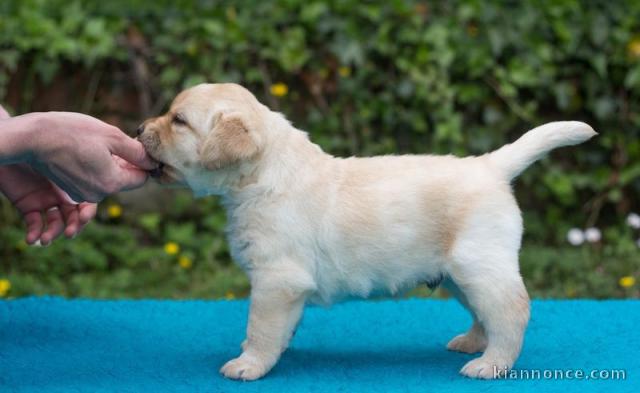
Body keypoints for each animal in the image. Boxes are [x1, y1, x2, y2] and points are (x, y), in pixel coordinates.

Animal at [138, 82, 596, 380]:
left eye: (178, 121)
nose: (140, 129)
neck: (263, 173)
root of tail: (490, 165)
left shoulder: (276, 279)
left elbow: (261, 327)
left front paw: (249, 364)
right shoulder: (284, 286)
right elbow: (281, 326)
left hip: (479, 264)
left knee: (511, 311)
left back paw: (491, 363)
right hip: (458, 274)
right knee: (486, 313)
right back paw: (472, 343)